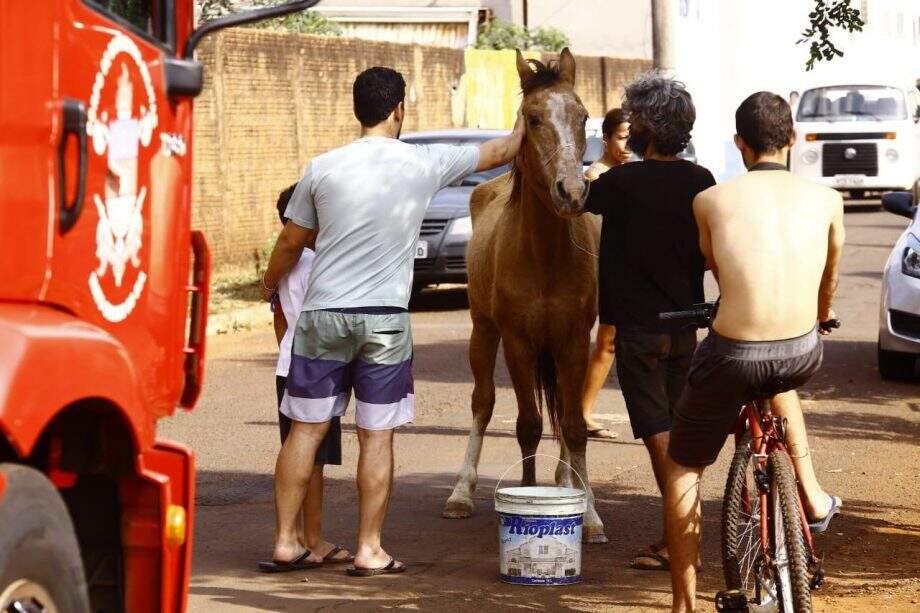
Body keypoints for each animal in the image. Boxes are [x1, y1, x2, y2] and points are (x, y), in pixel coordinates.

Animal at [444, 50, 608, 544]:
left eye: (582, 115)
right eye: (533, 119)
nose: (572, 191)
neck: (545, 256)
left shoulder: (573, 342)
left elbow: (573, 427)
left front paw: (590, 516)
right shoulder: (518, 343)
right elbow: (528, 425)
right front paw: (527, 493)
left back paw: (566, 480)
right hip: (483, 333)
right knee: (482, 403)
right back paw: (461, 492)